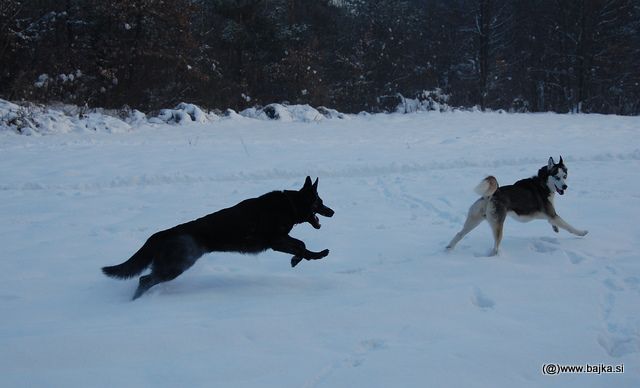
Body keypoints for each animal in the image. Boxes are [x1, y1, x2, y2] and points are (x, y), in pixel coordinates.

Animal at [102, 177, 336, 300]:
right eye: (319, 202)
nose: (333, 212)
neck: (290, 204)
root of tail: (163, 233)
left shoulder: (279, 241)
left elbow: (301, 246)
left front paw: (302, 258)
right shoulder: (276, 240)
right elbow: (301, 244)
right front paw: (305, 257)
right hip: (176, 265)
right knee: (145, 280)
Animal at [448, 156, 588, 256]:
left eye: (565, 176)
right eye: (557, 177)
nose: (565, 186)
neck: (543, 183)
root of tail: (492, 194)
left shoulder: (548, 215)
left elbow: (554, 223)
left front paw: (555, 229)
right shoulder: (551, 214)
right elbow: (569, 227)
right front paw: (581, 232)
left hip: (474, 220)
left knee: (459, 234)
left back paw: (448, 249)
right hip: (498, 224)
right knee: (495, 247)